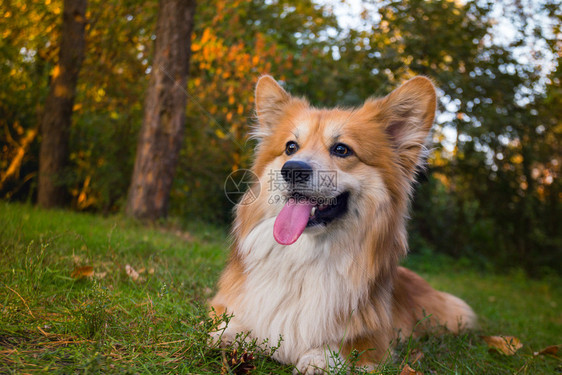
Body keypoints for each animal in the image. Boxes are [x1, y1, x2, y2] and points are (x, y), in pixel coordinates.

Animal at [210, 75, 472, 374]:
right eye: (290, 147)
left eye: (341, 149)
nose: (292, 169)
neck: (306, 256)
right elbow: (235, 318)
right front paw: (230, 333)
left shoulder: (377, 339)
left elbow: (347, 344)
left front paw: (319, 358)